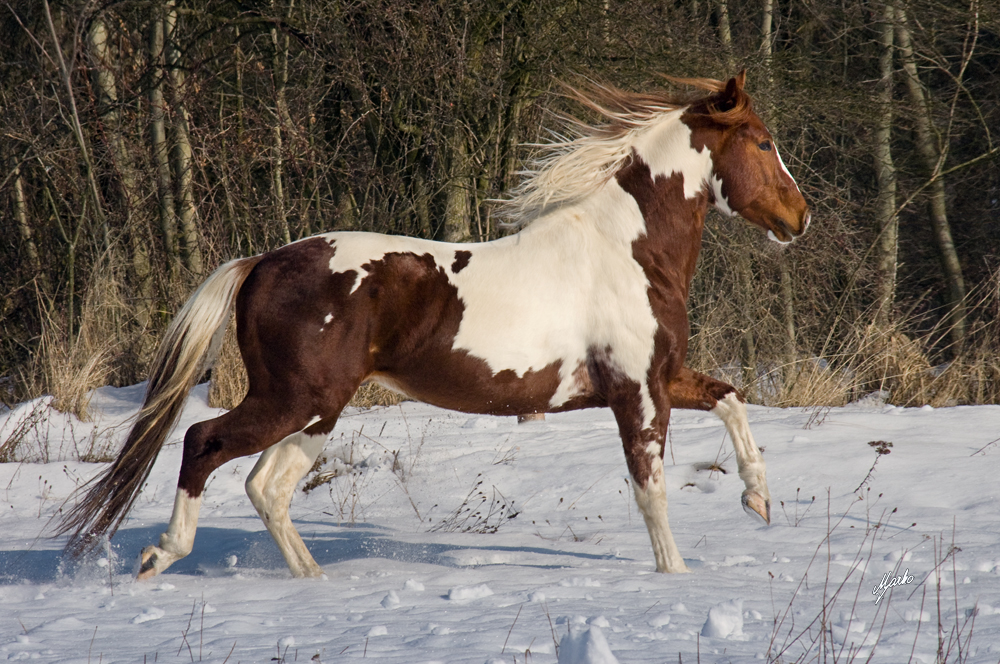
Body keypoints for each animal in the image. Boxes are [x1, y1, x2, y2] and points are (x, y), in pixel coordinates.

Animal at [58, 72, 808, 580]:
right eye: (764, 142)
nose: (800, 218)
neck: (628, 250)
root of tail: (262, 261)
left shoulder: (663, 376)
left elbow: (733, 398)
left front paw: (758, 502)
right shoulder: (637, 392)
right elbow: (651, 490)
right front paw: (675, 578)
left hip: (317, 410)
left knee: (266, 487)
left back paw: (314, 584)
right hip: (295, 401)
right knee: (205, 443)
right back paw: (161, 555)